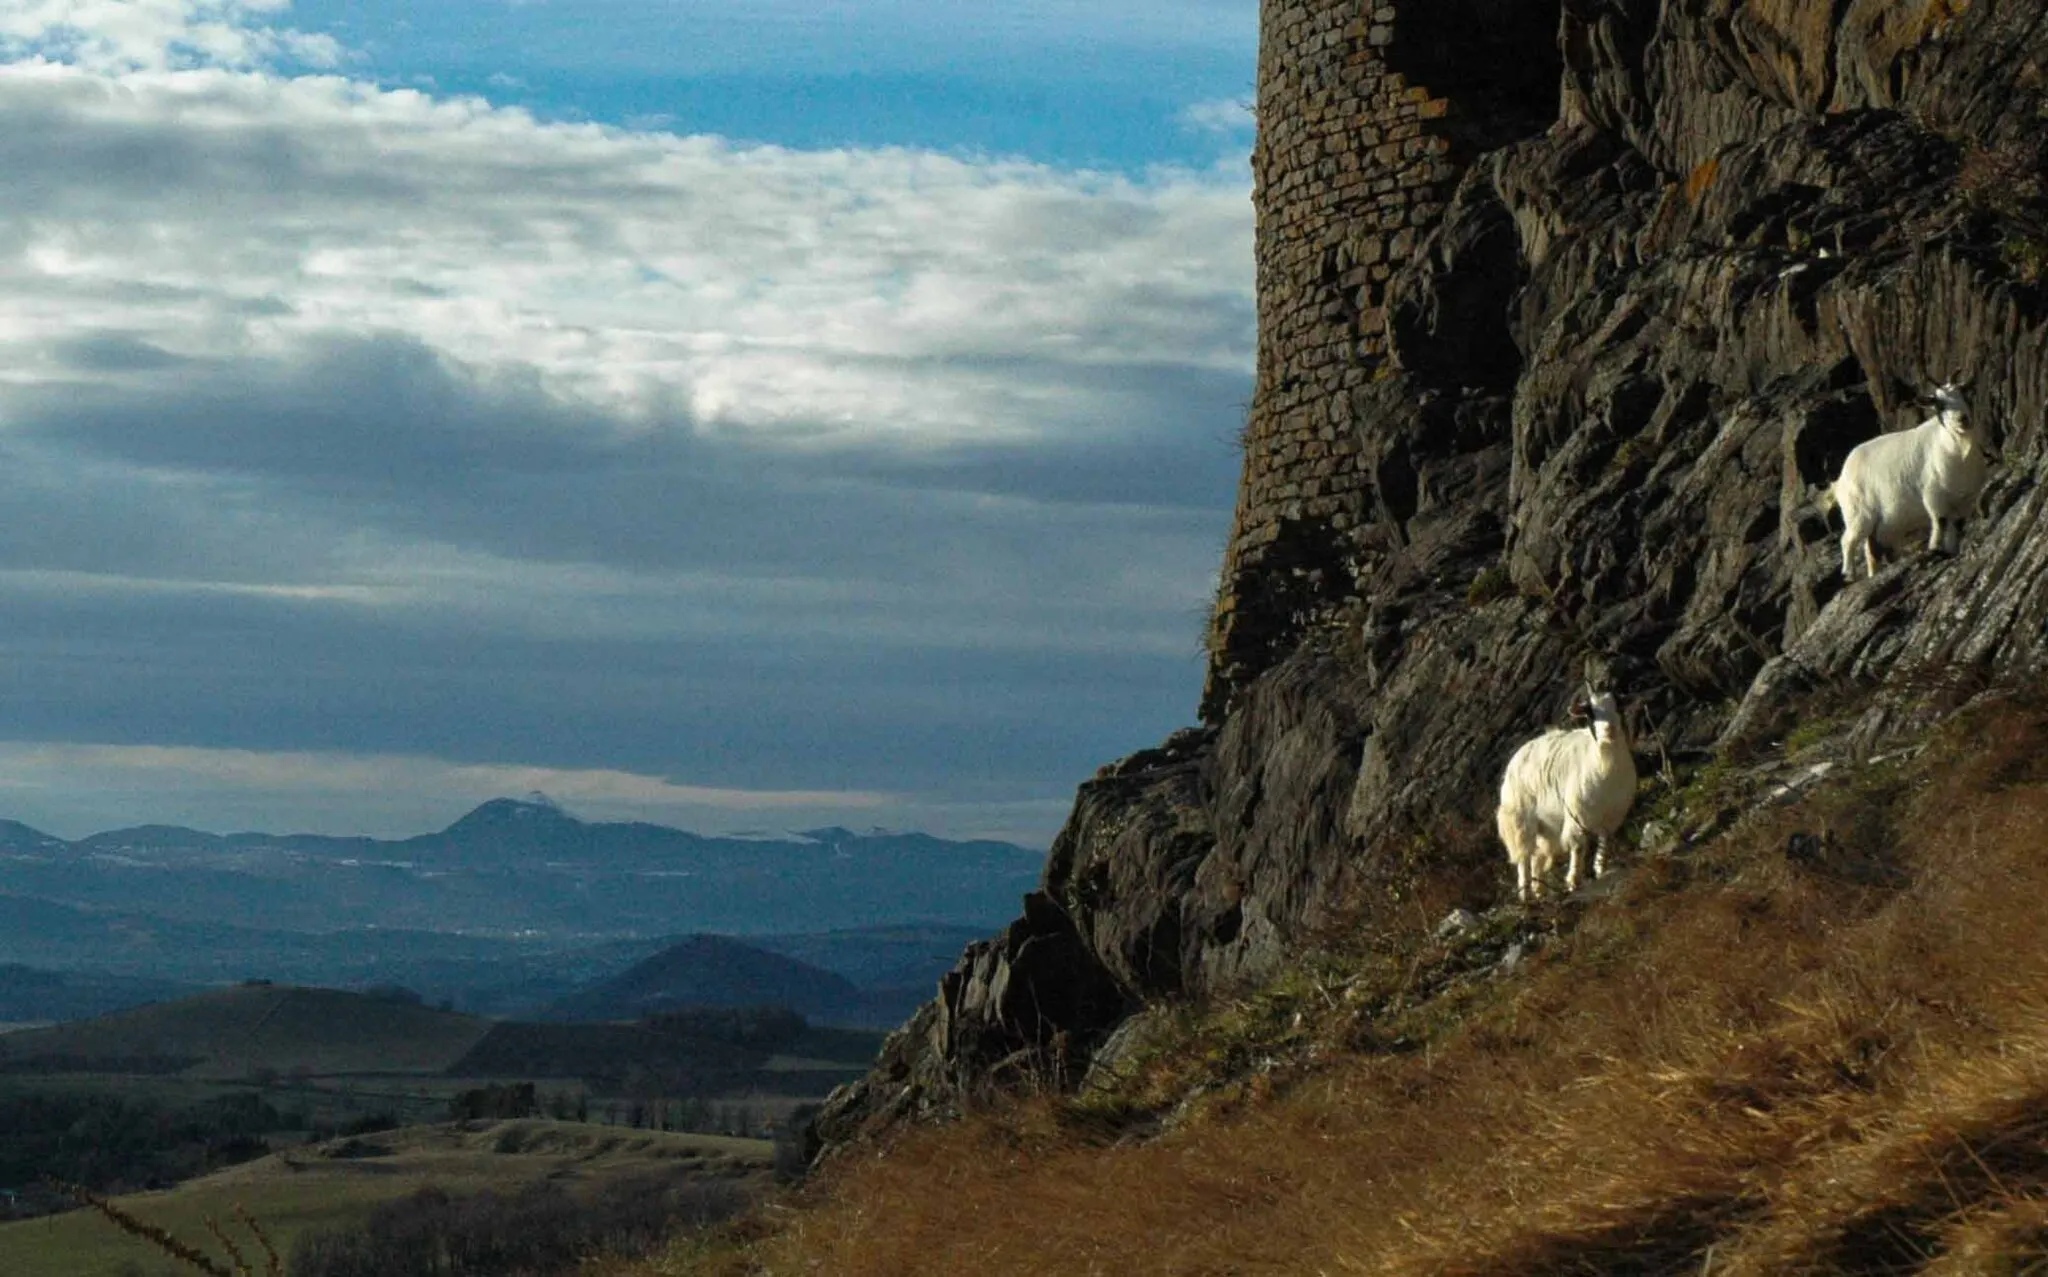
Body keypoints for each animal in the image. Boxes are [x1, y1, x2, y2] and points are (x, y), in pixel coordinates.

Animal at [1499, 687, 1638, 908]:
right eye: (1590, 713)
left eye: (1618, 707)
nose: (1609, 730)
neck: (1605, 764)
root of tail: (1519, 754)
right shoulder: (1577, 814)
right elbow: (1578, 845)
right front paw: (1574, 881)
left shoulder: (1610, 817)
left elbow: (1604, 842)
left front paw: (1600, 869)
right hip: (1519, 820)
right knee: (1524, 856)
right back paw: (1526, 895)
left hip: (1547, 828)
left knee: (1537, 857)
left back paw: (1540, 892)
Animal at [1835, 376, 1990, 581]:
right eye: (1939, 404)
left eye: (1964, 394)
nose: (1962, 419)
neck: (1955, 450)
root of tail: (1842, 476)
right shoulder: (1933, 496)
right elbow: (1940, 522)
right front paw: (1935, 547)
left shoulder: (1964, 501)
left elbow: (1956, 526)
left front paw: (1952, 550)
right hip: (1858, 514)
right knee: (1847, 540)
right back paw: (1849, 574)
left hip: (1880, 526)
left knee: (1871, 549)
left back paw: (1873, 573)